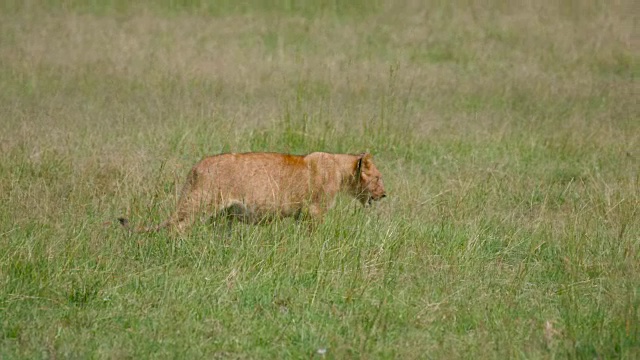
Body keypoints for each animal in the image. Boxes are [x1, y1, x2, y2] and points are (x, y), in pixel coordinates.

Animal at [119, 151, 388, 231]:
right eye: (377, 178)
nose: (384, 194)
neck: (339, 169)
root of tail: (196, 168)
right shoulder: (315, 210)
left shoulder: (302, 214)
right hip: (202, 203)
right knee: (179, 226)